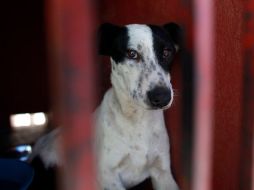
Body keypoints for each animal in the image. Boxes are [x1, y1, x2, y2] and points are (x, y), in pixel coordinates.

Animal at [29, 22, 181, 190]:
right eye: (132, 53)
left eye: (167, 52)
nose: (162, 97)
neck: (137, 121)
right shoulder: (108, 177)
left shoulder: (163, 172)